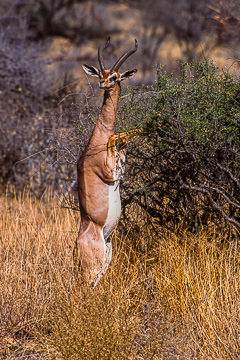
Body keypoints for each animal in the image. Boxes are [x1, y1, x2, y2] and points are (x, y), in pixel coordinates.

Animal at [74, 35, 139, 284]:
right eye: (101, 74)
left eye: (114, 75)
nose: (103, 84)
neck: (96, 141)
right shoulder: (111, 173)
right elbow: (114, 137)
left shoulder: (120, 171)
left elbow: (122, 141)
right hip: (94, 266)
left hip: (107, 257)